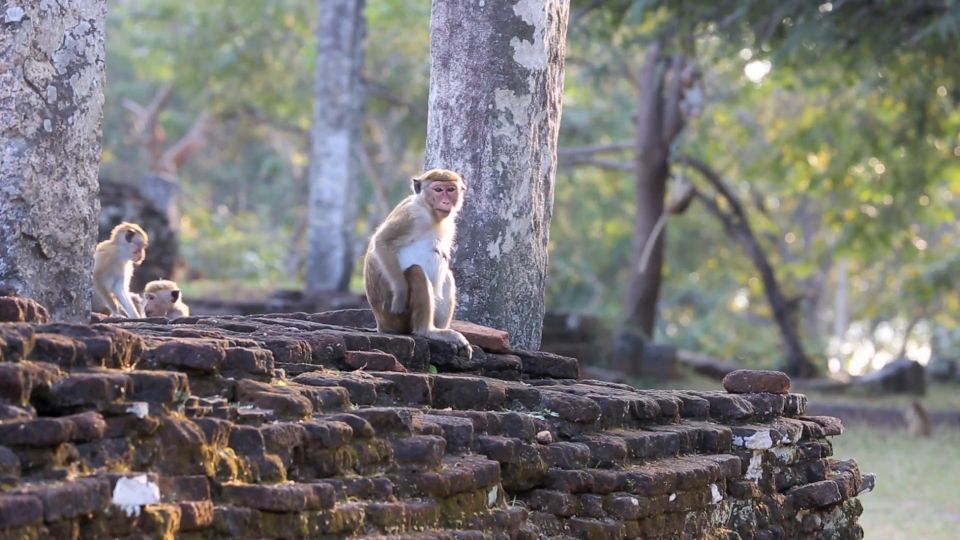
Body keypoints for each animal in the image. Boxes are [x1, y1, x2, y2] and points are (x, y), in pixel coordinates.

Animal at [364, 167, 472, 356]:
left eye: (451, 189)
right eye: (438, 190)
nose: (446, 202)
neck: (430, 211)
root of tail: (381, 325)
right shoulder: (412, 215)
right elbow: (382, 242)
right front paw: (400, 291)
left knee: (446, 277)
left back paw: (441, 330)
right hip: (394, 318)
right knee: (416, 272)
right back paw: (428, 331)